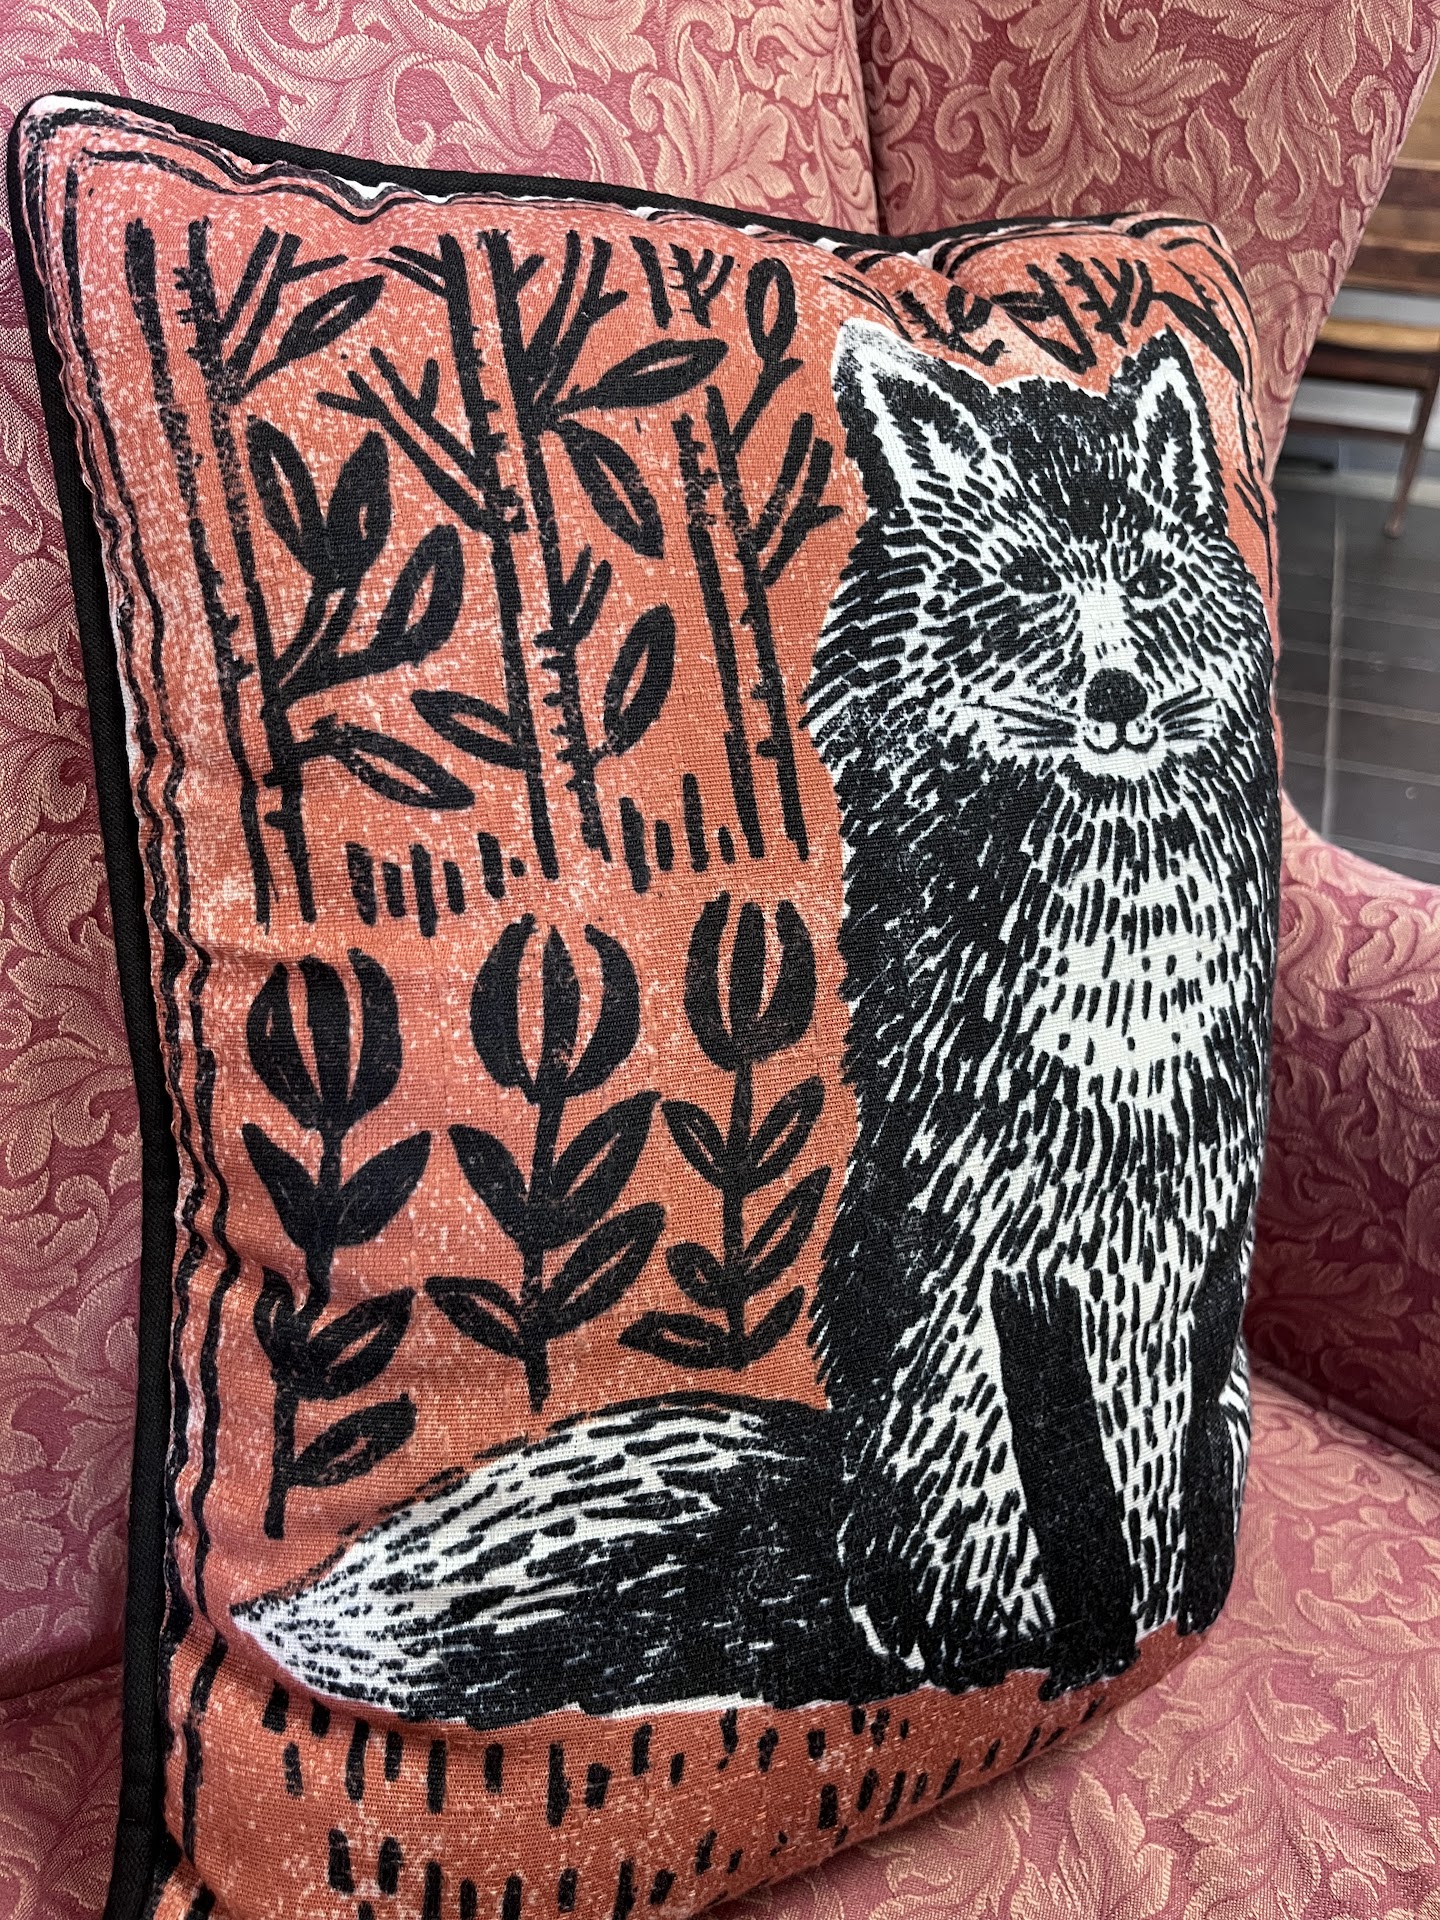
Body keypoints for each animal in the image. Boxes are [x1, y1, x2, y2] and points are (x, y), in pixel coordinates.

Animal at [235, 320, 1281, 1728]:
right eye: (1022, 591)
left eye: (1157, 586)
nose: (1117, 698)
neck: (1124, 983)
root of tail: (832, 1527)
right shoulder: (1009, 1257)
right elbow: (1078, 1508)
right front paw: (1104, 1654)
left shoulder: (1209, 1242)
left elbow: (1192, 1485)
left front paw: (1182, 1610)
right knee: (938, 1618)